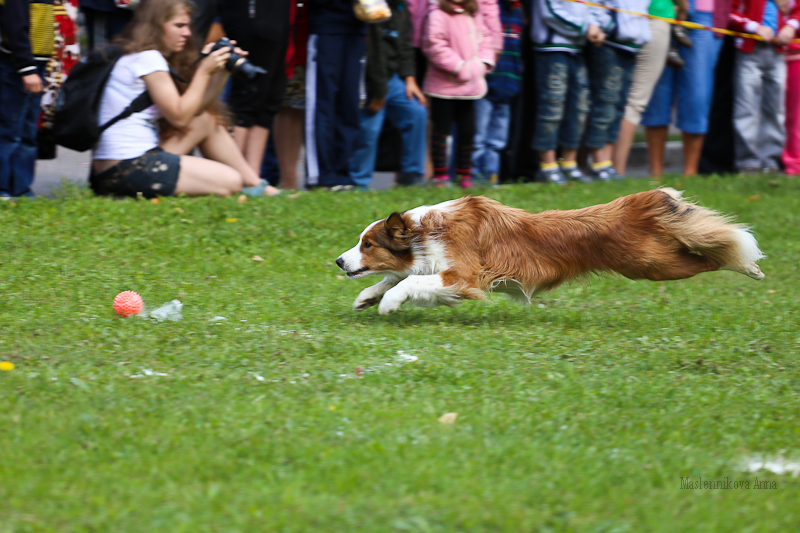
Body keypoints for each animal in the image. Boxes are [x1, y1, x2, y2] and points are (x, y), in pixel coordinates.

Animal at [335, 189, 765, 315]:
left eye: (367, 244)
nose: (338, 261)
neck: (425, 231)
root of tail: (634, 204)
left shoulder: (465, 276)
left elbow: (407, 283)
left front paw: (388, 304)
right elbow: (398, 276)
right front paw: (365, 297)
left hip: (653, 264)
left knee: (712, 256)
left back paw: (751, 269)